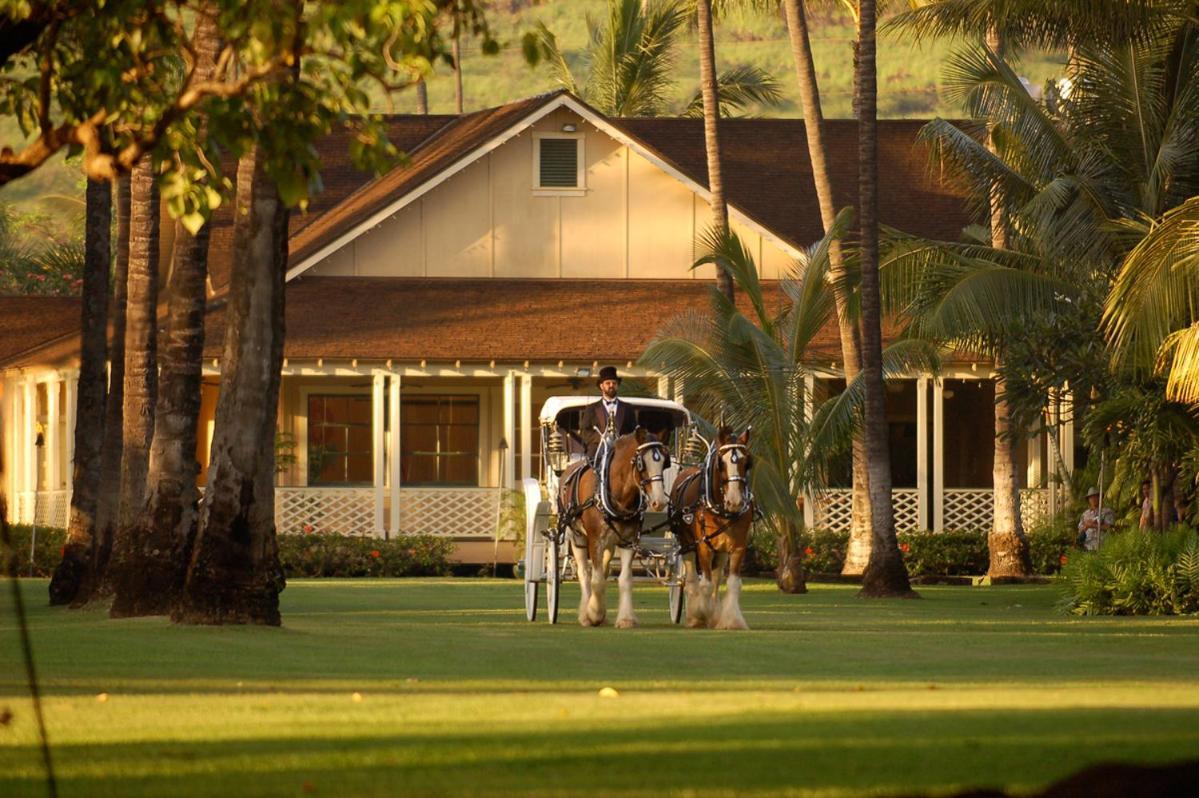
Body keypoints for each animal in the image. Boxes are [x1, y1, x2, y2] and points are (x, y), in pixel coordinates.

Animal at [556, 426, 671, 623]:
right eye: (642, 464)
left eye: (664, 462)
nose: (659, 501)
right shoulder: (595, 541)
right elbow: (595, 579)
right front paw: (594, 613)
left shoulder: (628, 541)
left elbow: (624, 579)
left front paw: (626, 618)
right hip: (577, 537)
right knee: (584, 573)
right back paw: (586, 613)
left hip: (610, 542)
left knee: (604, 567)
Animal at [671, 421, 752, 627]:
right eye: (721, 463)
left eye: (747, 463)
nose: (735, 501)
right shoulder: (703, 546)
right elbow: (705, 584)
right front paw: (702, 615)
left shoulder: (738, 547)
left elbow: (732, 583)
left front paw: (731, 620)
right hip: (686, 544)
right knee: (692, 578)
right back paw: (694, 615)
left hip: (721, 550)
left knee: (716, 580)